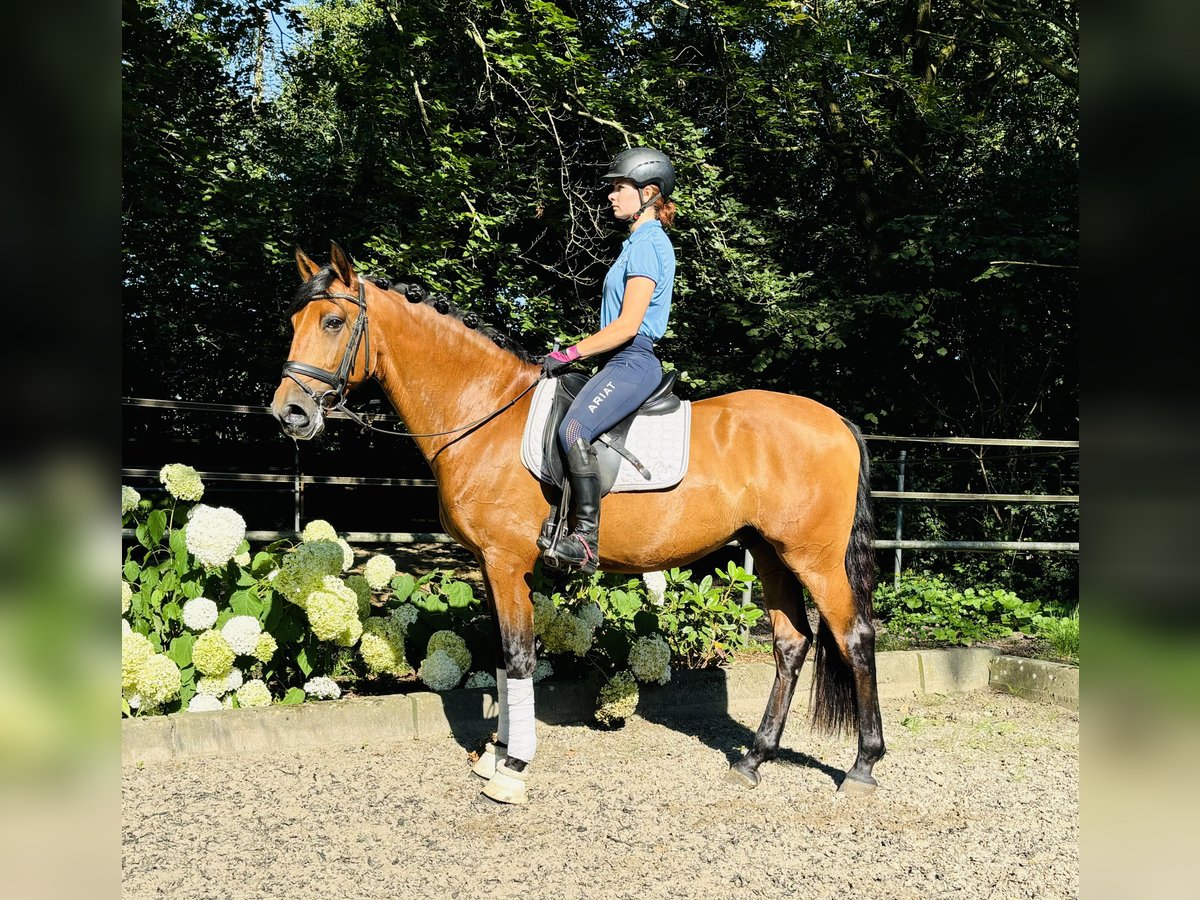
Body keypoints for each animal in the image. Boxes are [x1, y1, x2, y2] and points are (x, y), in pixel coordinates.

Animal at [274, 243, 892, 806]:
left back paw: (862, 767)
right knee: (791, 644)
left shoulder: (506, 563)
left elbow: (519, 656)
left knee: (855, 637)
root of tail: (837, 422)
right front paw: (498, 753)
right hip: (768, 553)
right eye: (294, 321)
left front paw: (512, 770)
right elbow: (501, 656)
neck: (484, 413)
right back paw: (753, 759)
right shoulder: (490, 566)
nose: (290, 414)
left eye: (333, 321)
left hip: (814, 558)